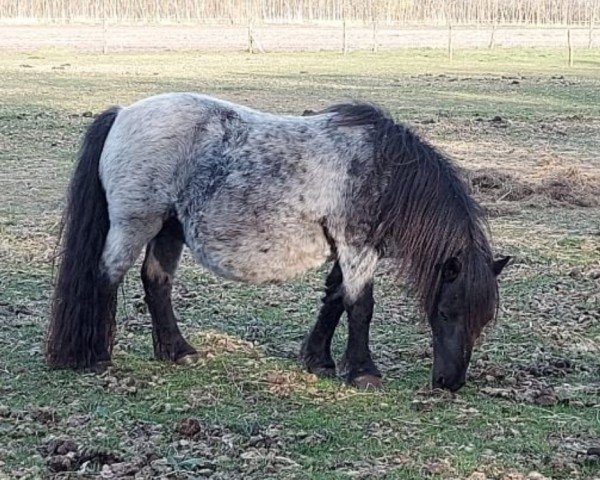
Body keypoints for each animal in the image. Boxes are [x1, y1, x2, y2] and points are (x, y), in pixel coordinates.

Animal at [45, 93, 506, 390]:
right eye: (445, 312)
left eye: (484, 320)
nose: (449, 383)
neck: (385, 170)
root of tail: (123, 113)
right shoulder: (358, 248)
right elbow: (360, 307)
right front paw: (363, 372)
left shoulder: (345, 250)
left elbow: (334, 298)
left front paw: (318, 360)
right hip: (135, 224)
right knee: (107, 276)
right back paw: (97, 356)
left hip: (168, 229)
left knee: (156, 282)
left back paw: (178, 351)